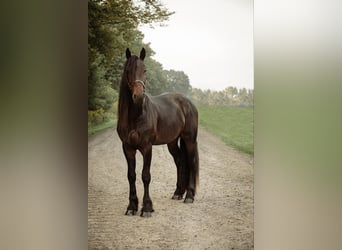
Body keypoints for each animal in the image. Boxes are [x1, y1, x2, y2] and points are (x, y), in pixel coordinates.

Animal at [117, 47, 199, 216]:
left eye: (145, 70)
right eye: (128, 71)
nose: (139, 96)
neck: (136, 115)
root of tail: (187, 102)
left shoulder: (147, 147)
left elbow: (145, 175)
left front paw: (147, 208)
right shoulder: (127, 148)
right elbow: (131, 175)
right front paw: (132, 207)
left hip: (190, 139)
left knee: (191, 162)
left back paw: (189, 196)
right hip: (172, 142)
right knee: (180, 161)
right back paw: (178, 193)